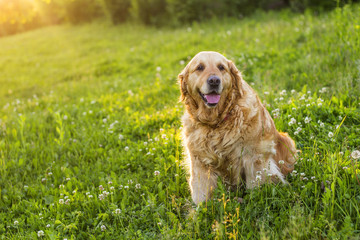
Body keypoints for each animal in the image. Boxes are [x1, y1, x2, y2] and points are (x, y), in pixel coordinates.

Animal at [179, 51, 296, 203]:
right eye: (200, 67)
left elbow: (255, 188)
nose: (214, 81)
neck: (216, 123)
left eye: (221, 67)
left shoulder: (253, 159)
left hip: (286, 140)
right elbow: (201, 194)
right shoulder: (200, 163)